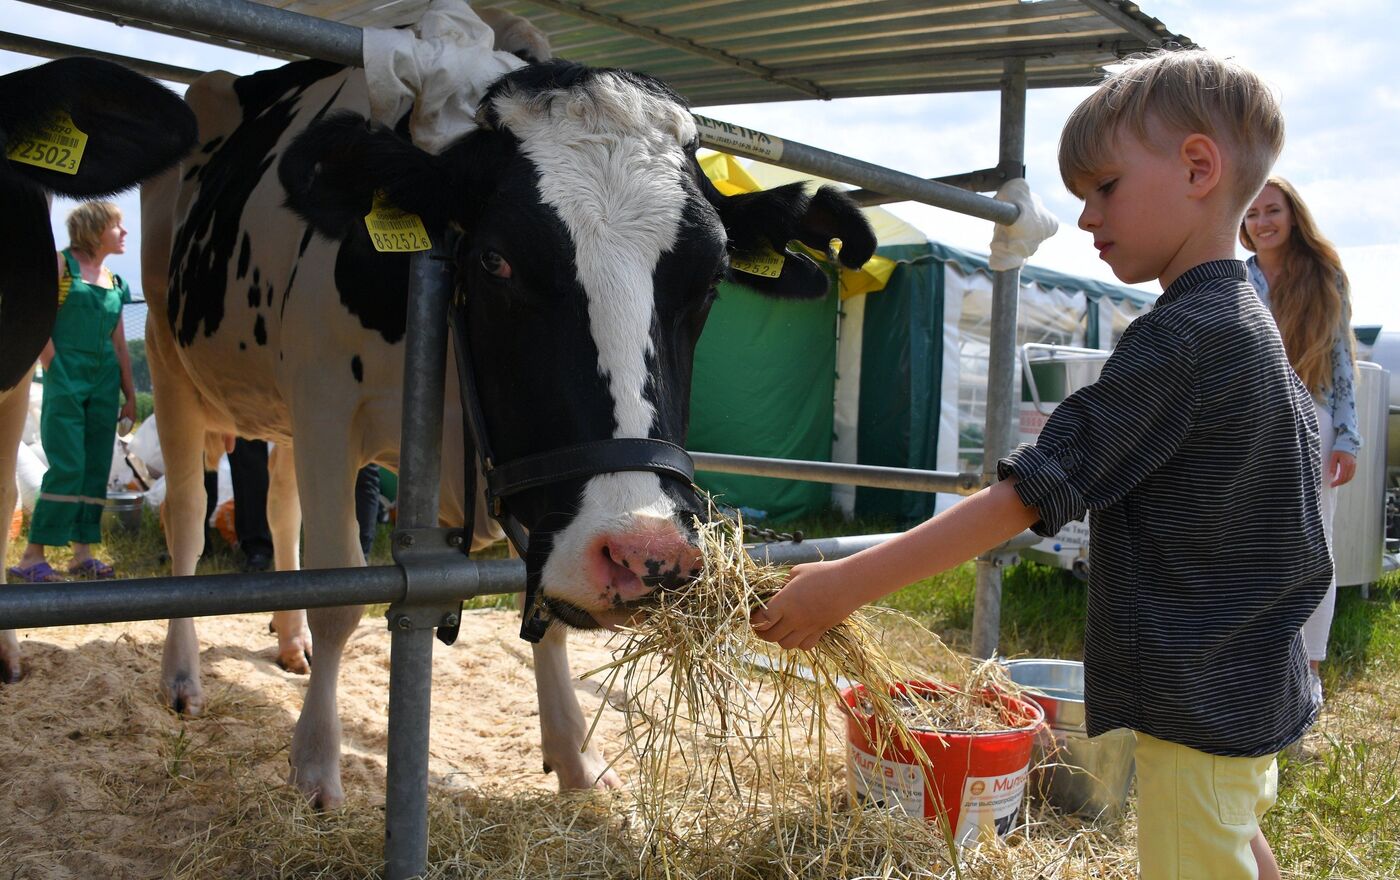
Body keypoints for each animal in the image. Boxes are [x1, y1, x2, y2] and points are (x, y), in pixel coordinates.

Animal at [147, 47, 873, 805]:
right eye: (497, 259)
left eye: (711, 279)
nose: (648, 558)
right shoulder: (325, 403)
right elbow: (339, 592)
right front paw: (316, 764)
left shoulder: (523, 473)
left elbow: (545, 605)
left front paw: (577, 759)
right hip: (171, 363)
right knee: (187, 516)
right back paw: (182, 675)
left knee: (281, 509)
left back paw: (290, 645)